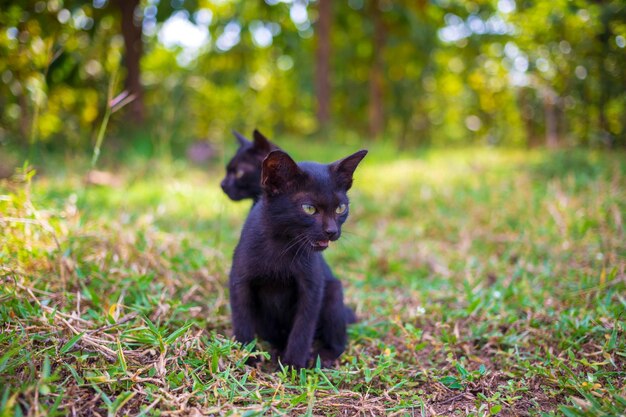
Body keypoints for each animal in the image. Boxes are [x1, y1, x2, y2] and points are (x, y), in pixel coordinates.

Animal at [229, 149, 366, 368]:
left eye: (340, 208)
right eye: (309, 208)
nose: (332, 231)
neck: (282, 245)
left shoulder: (312, 287)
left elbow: (303, 327)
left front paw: (293, 364)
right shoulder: (239, 281)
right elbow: (242, 320)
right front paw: (247, 357)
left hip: (334, 293)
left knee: (339, 343)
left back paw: (323, 356)